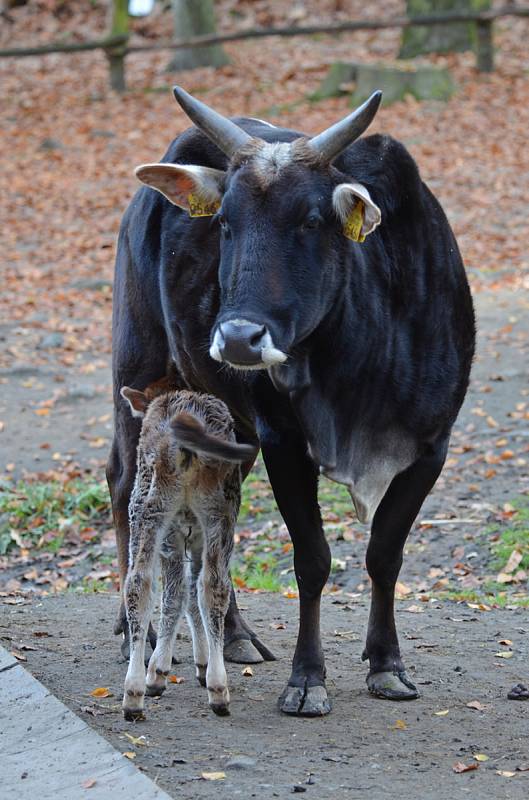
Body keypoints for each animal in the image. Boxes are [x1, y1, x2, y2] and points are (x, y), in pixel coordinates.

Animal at [107, 84, 474, 716]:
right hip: (135, 374)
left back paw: (232, 637)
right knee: (124, 484)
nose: (237, 338)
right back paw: (146, 633)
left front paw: (386, 663)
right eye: (224, 223)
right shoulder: (284, 443)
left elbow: (384, 554)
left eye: (311, 219)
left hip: (223, 431)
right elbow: (313, 558)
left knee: (209, 545)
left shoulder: (431, 448)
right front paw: (308, 679)